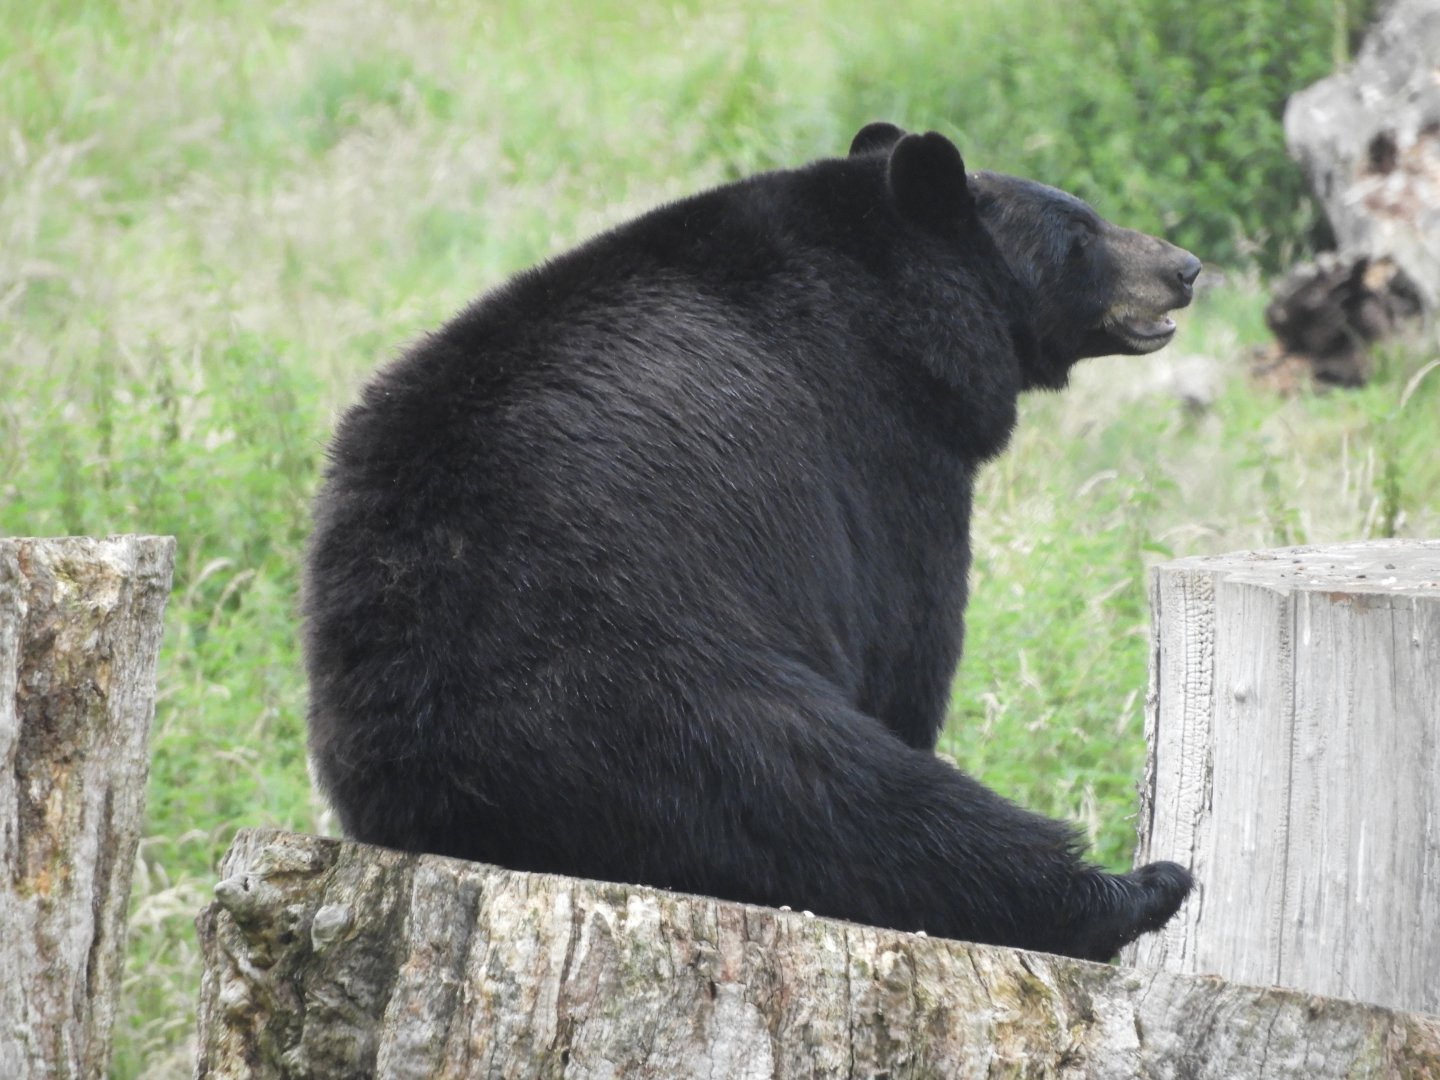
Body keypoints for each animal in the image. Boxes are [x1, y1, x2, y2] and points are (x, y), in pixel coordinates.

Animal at [303, 122, 1201, 962]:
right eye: (1081, 231)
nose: (1186, 267)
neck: (900, 293)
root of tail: (441, 787)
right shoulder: (880, 449)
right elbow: (907, 641)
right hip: (660, 694)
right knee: (853, 800)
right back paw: (1131, 887)